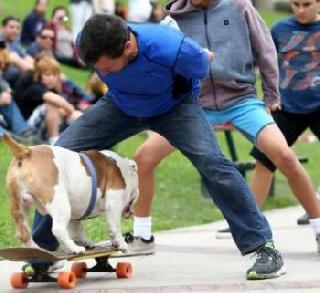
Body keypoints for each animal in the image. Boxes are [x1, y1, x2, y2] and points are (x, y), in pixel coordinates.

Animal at [3, 134, 139, 253]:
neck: (121, 167)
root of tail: (26, 152)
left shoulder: (75, 215)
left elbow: (77, 230)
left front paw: (86, 242)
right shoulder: (114, 202)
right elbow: (114, 226)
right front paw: (121, 243)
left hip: (19, 205)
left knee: (23, 233)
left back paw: (38, 250)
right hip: (60, 203)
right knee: (58, 230)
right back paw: (75, 249)